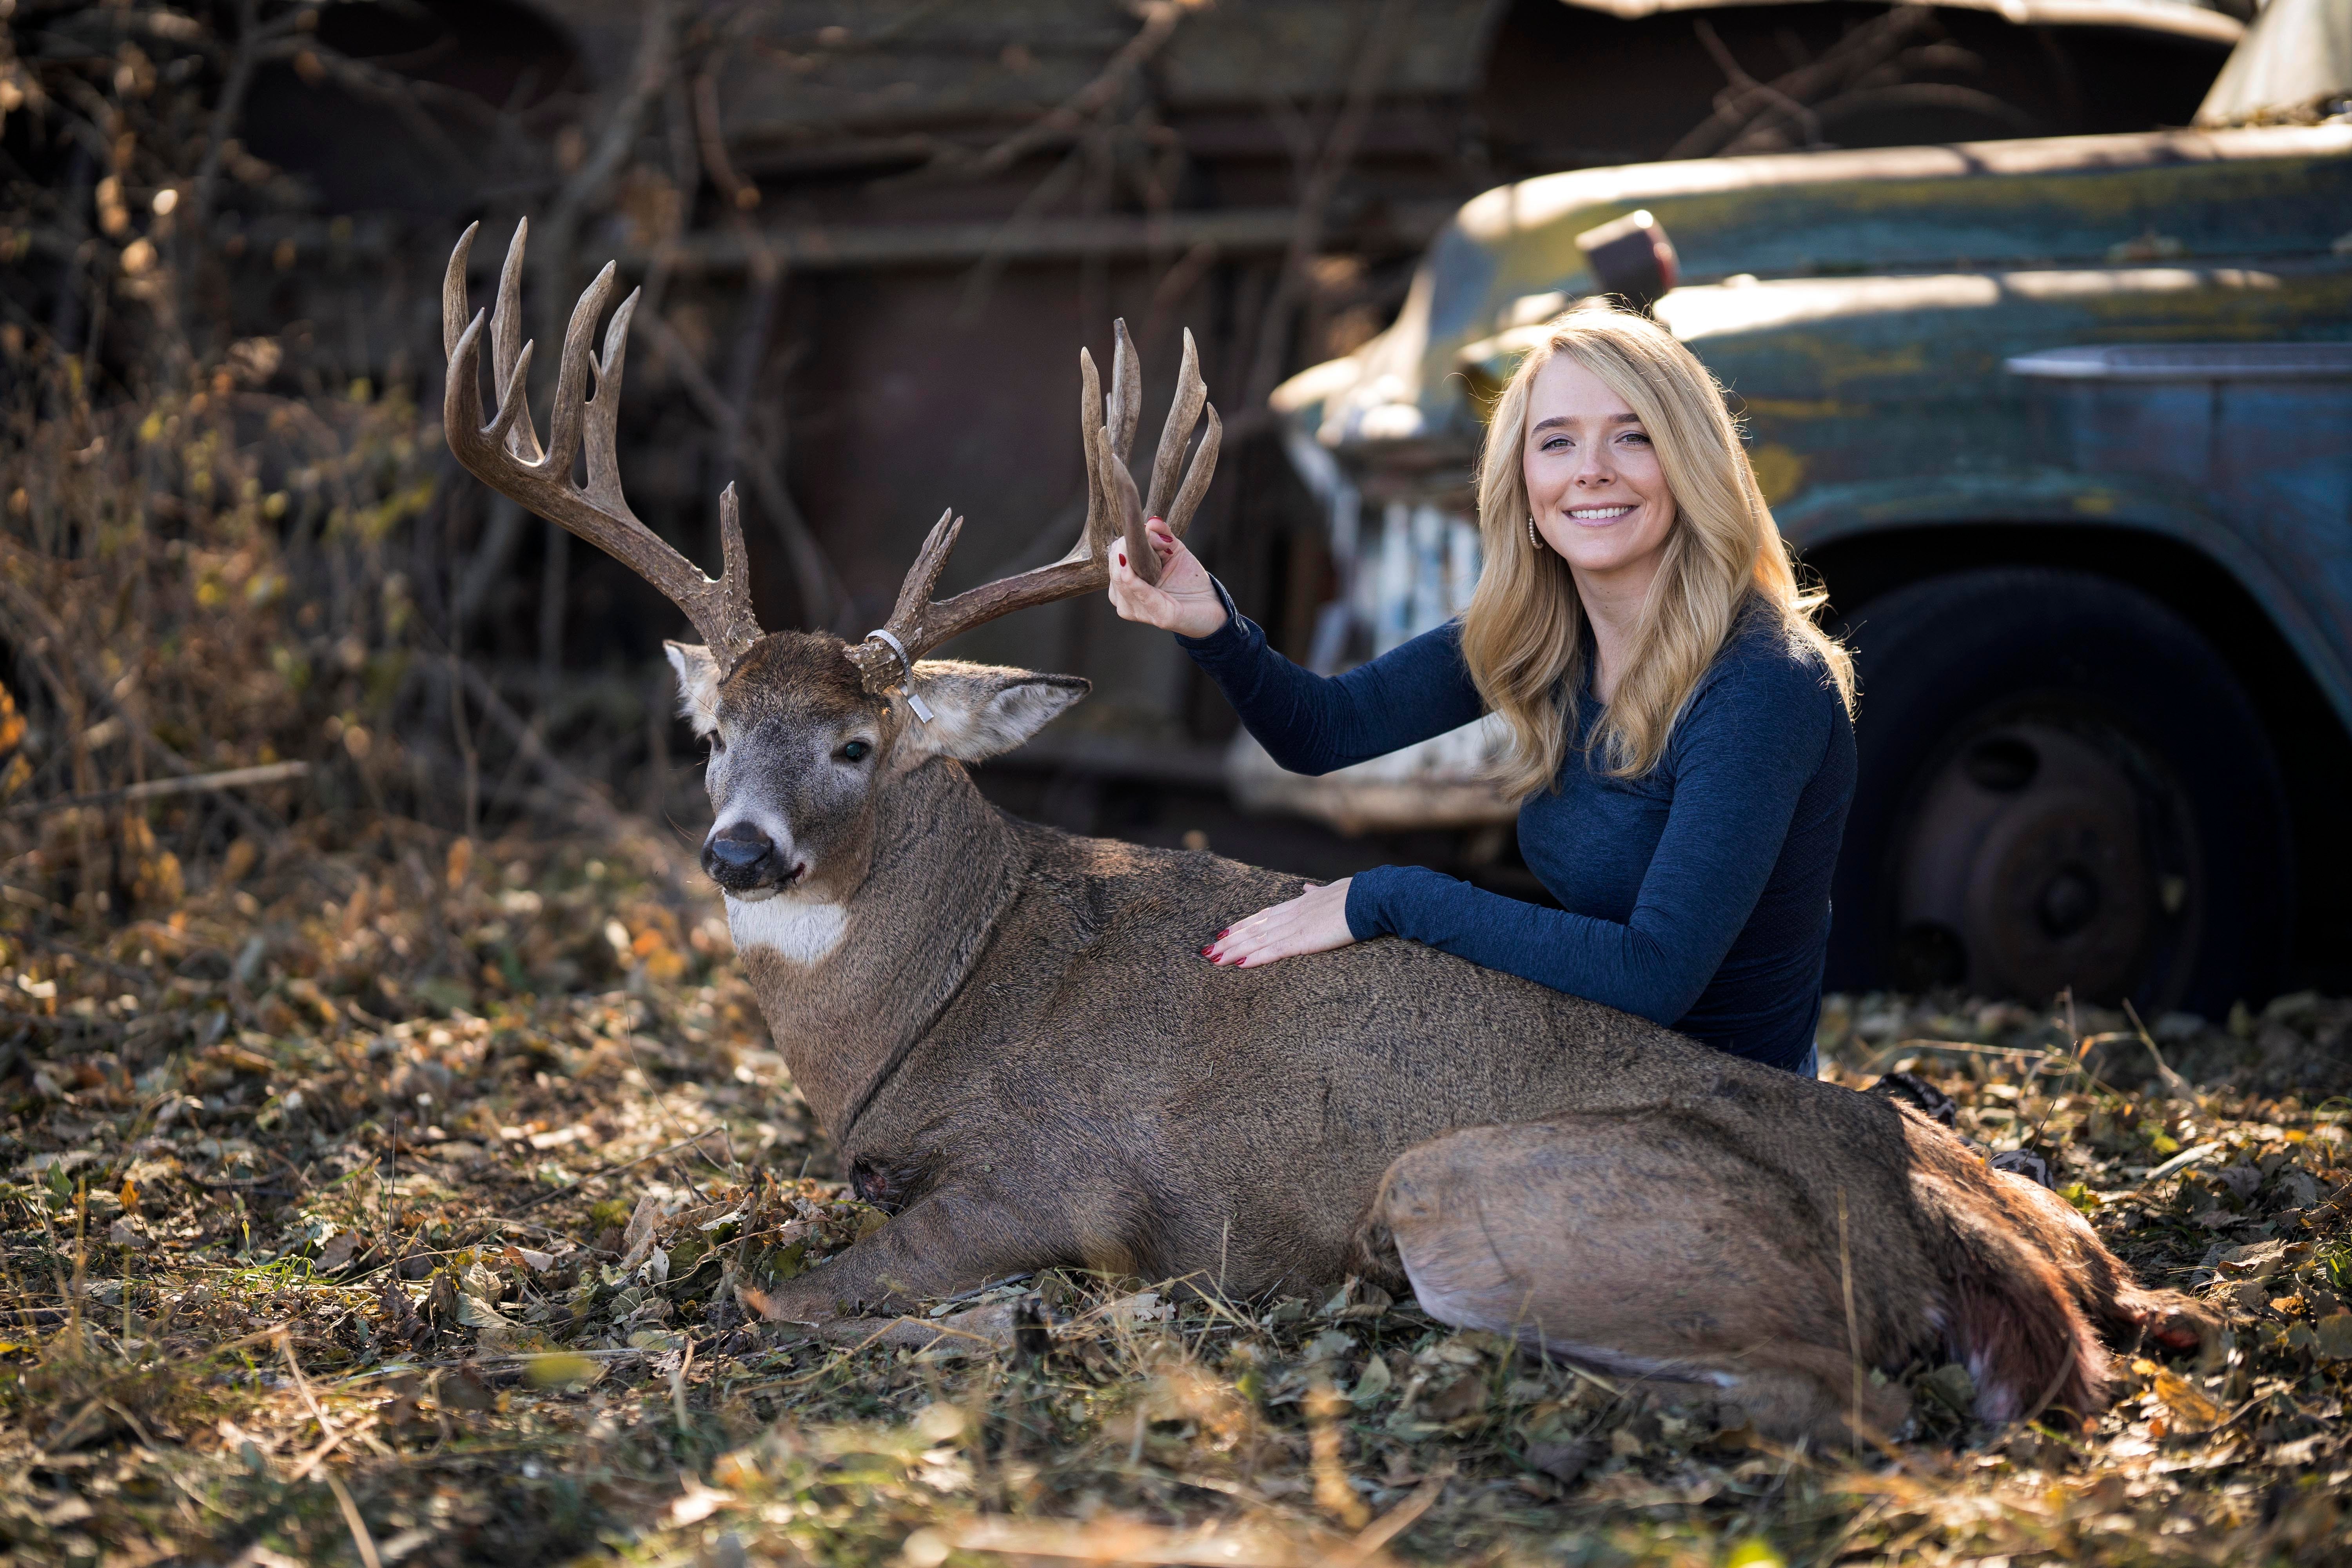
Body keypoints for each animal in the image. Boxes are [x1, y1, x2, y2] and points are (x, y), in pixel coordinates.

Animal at [438, 221, 2208, 1443]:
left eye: (859, 744)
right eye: (713, 735)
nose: (741, 853)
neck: (931, 1003)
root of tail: (1982, 1249)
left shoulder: (1064, 1181)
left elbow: (774, 1294)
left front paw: (1010, 1327)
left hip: (1468, 1187)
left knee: (1844, 1405)